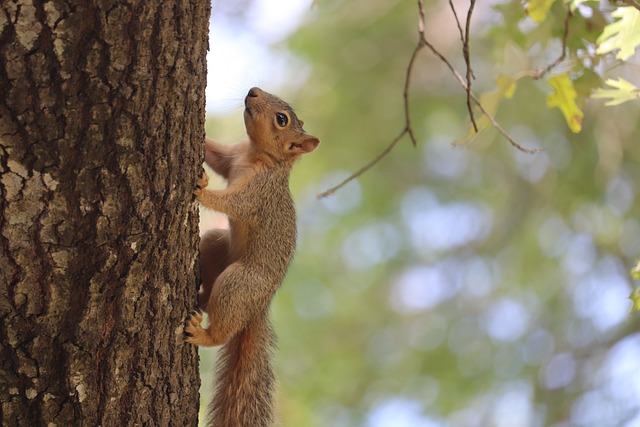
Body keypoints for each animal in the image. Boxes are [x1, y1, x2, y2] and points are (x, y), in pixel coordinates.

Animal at [184, 88, 318, 427]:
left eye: (282, 119)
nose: (253, 91)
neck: (256, 155)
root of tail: (258, 307)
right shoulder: (232, 157)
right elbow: (216, 155)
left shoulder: (258, 192)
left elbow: (234, 203)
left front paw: (203, 191)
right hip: (215, 245)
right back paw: (201, 296)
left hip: (239, 283)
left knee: (221, 328)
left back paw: (202, 333)